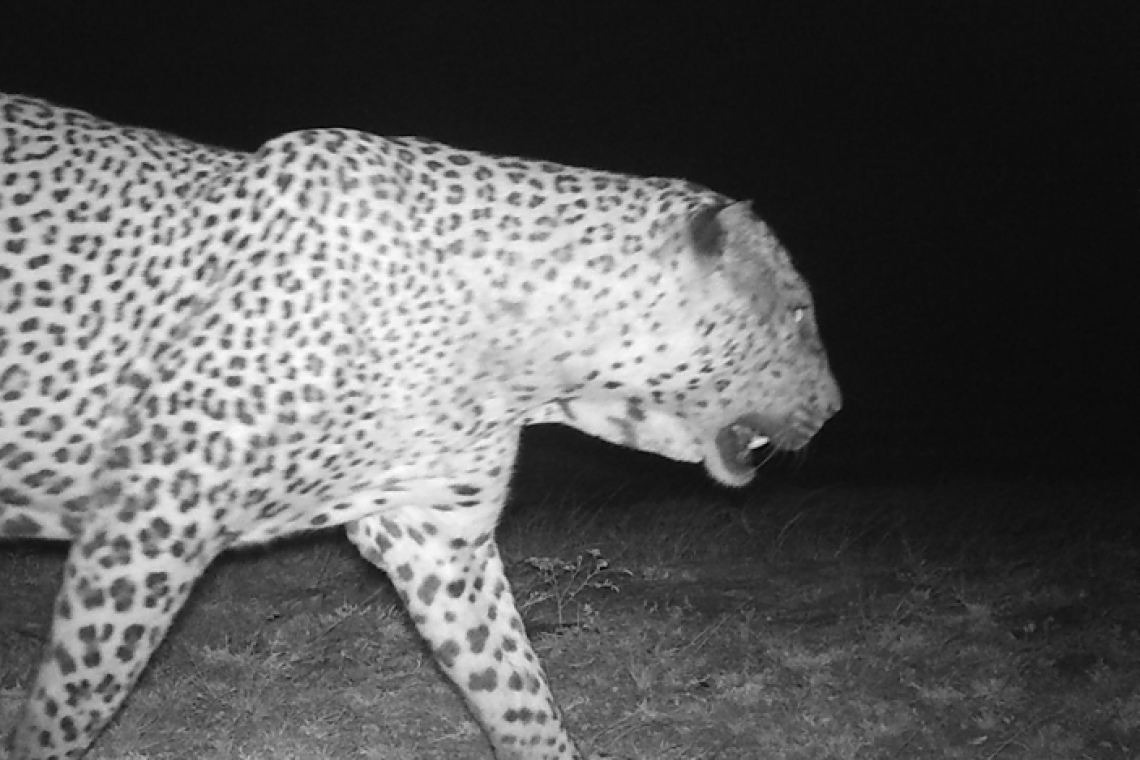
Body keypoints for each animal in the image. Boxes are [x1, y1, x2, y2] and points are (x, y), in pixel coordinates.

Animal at [0, 93, 841, 759]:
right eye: (799, 311)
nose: (835, 405)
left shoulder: (438, 538)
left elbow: (520, 692)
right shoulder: (151, 517)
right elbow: (72, 704)